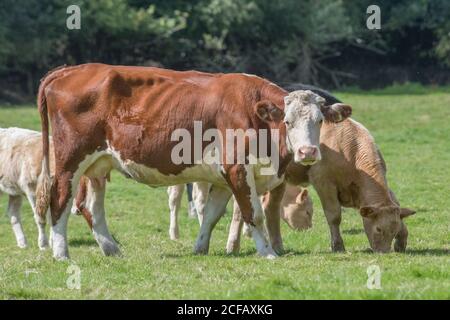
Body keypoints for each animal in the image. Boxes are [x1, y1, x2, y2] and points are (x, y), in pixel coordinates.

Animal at [36, 63, 352, 260]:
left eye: (320, 120)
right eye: (287, 121)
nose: (308, 152)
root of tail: (71, 69)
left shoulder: (225, 178)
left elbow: (212, 215)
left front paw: (200, 247)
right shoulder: (237, 168)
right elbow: (254, 214)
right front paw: (267, 252)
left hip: (98, 165)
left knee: (90, 206)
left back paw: (111, 249)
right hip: (69, 160)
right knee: (60, 200)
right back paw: (61, 253)